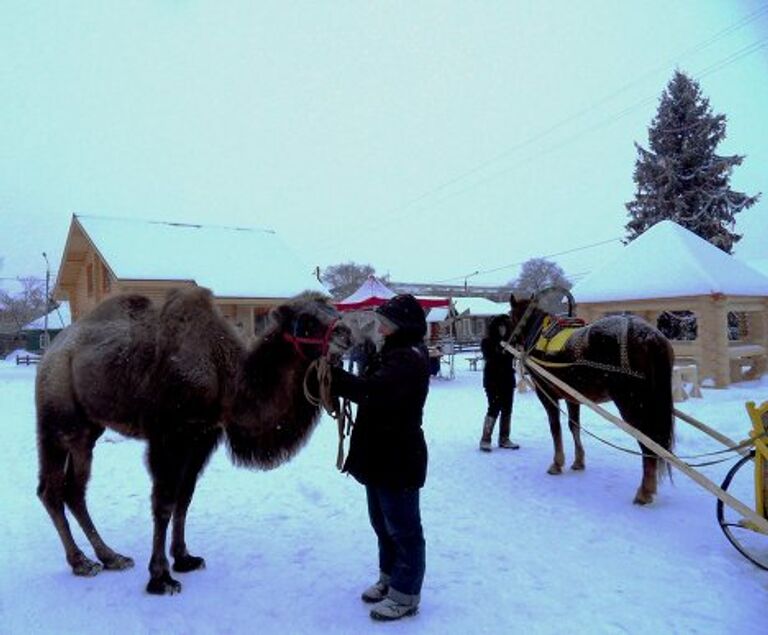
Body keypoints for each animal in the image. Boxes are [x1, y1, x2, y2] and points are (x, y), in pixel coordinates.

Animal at [36, 288, 354, 596]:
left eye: (334, 310)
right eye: (306, 320)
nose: (347, 333)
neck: (224, 377)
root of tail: (51, 349)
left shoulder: (202, 436)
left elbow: (185, 497)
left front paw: (184, 558)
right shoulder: (168, 436)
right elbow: (164, 502)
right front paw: (161, 578)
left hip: (88, 429)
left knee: (74, 489)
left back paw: (110, 557)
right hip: (58, 417)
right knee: (51, 489)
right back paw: (81, 562)